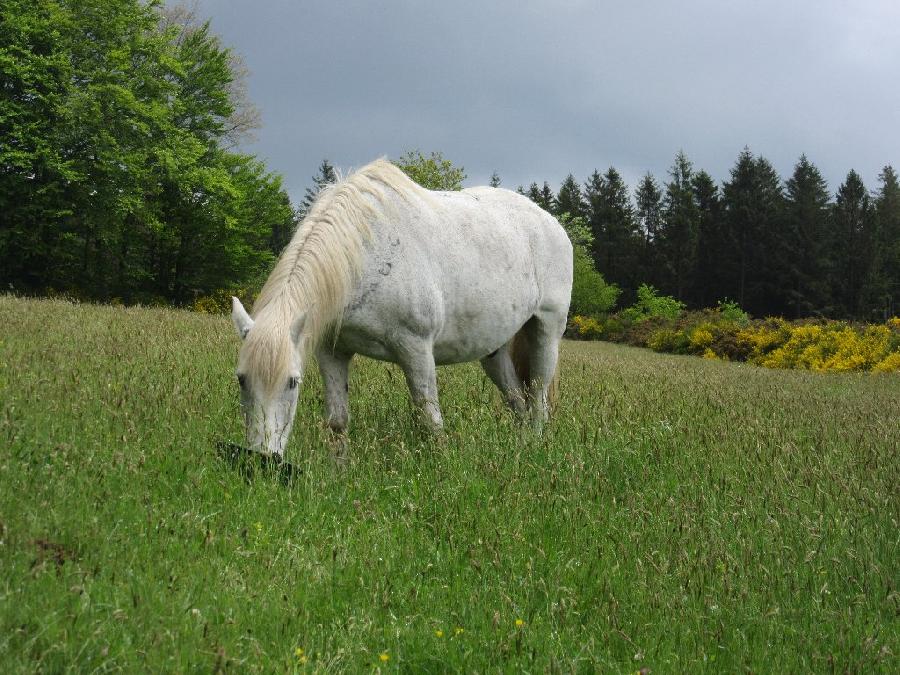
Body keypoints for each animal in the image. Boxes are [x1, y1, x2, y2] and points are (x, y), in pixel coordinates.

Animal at [229, 159, 572, 456]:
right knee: (518, 404)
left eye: (292, 381)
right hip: (493, 351)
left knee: (538, 400)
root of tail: (552, 223)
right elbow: (337, 423)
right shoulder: (332, 352)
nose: (262, 458)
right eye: (241, 379)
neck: (365, 252)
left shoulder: (415, 348)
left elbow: (431, 422)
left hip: (546, 332)